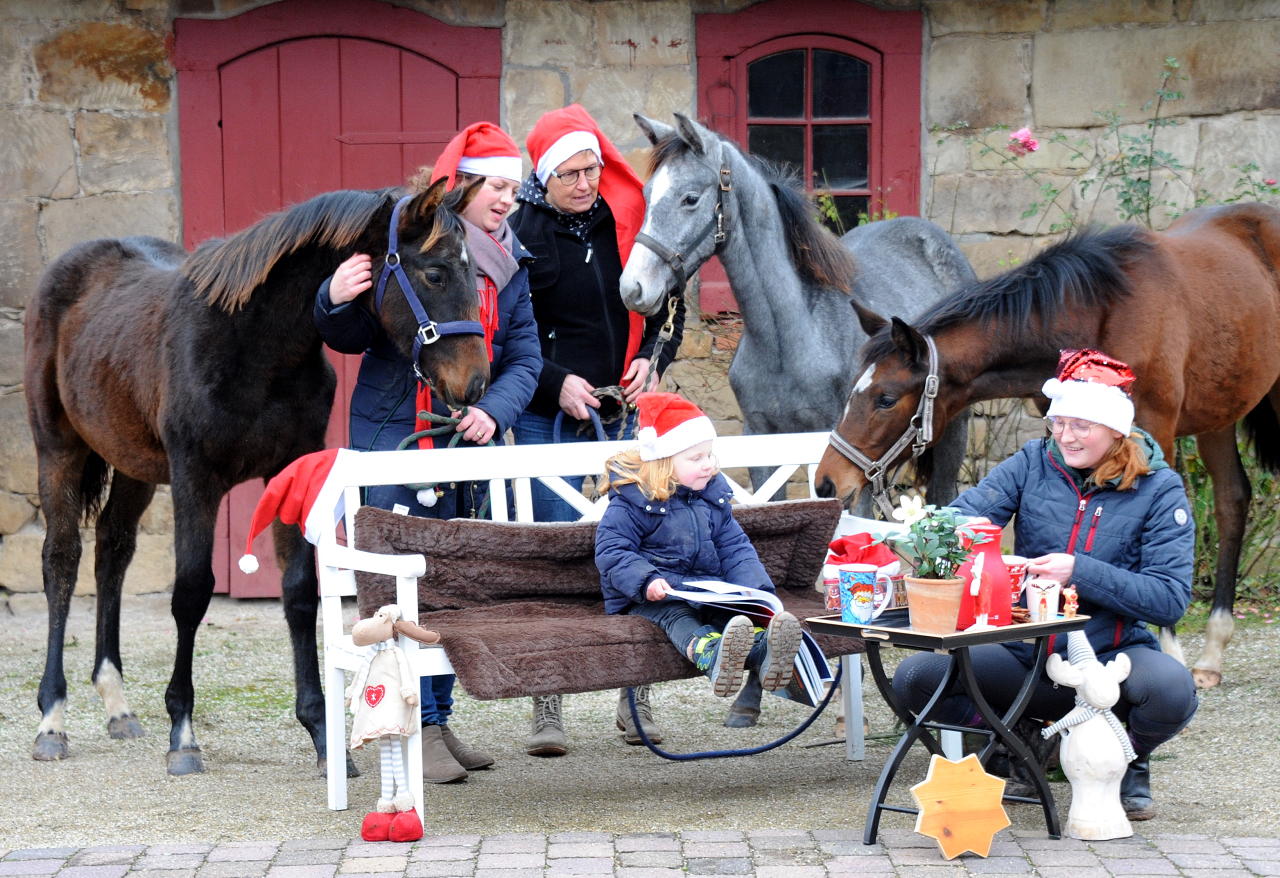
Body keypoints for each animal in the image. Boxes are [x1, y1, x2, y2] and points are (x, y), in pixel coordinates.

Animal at [26, 179, 483, 778]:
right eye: (435, 273)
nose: (475, 383)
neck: (253, 345)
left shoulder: (290, 470)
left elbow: (300, 593)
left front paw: (321, 735)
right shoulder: (195, 477)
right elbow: (191, 593)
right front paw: (183, 734)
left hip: (132, 465)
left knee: (112, 553)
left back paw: (117, 703)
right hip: (58, 450)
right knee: (62, 561)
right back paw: (51, 717)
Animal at [616, 115, 967, 726]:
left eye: (690, 197)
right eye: (647, 193)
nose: (634, 290)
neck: (789, 332)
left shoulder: (845, 465)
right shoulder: (764, 442)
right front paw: (752, 692)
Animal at [814, 204, 1280, 686]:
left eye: (886, 398)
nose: (827, 481)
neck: (1100, 311)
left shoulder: (1158, 429)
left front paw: (1170, 651)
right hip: (1219, 413)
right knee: (1232, 500)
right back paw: (1212, 654)